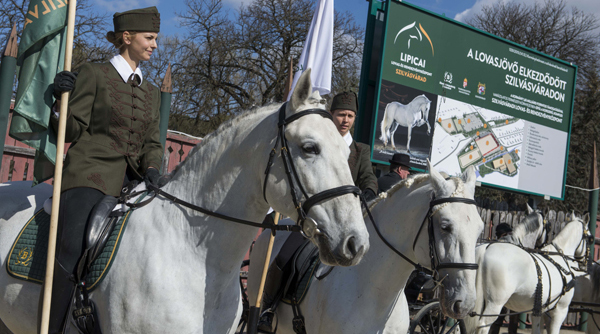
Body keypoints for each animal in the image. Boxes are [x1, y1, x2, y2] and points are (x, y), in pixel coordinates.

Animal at [464, 217, 592, 334]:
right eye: (590, 239)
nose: (585, 264)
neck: (559, 258)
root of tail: (485, 248)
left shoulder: (538, 311)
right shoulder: (560, 310)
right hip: (495, 303)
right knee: (483, 326)